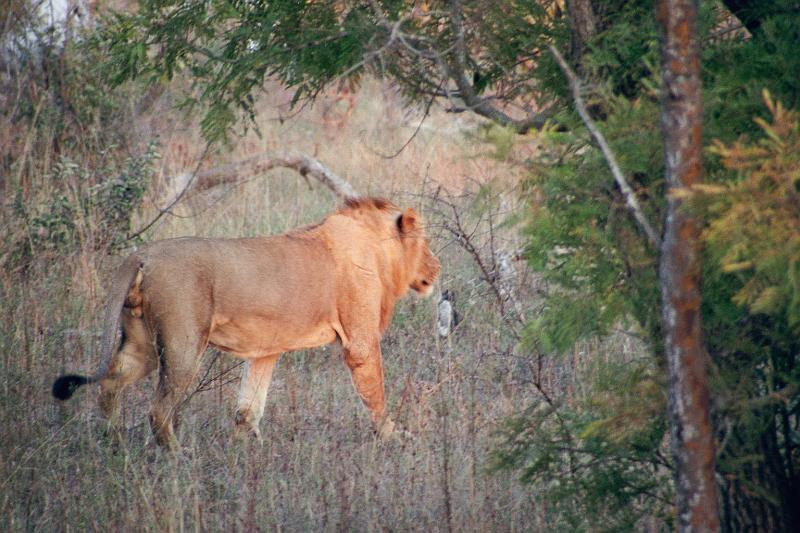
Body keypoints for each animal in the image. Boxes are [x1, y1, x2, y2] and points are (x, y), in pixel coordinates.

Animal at [51, 197, 438, 446]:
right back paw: (177, 459)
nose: (437, 268)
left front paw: (244, 446)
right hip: (183, 345)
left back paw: (114, 442)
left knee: (109, 384)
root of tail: (140, 255)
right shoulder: (360, 343)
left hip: (141, 344)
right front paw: (392, 436)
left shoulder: (268, 348)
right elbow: (377, 394)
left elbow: (250, 402)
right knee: (158, 410)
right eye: (427, 243)